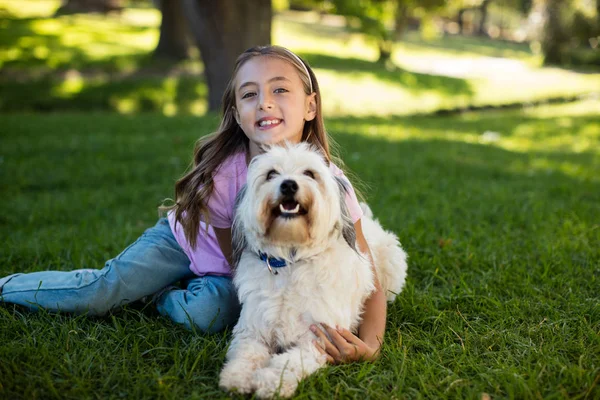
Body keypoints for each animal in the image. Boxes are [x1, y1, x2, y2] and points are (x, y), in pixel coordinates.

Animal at [220, 143, 408, 396]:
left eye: (309, 173)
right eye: (271, 174)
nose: (289, 185)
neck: (292, 260)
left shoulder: (318, 339)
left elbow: (287, 364)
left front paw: (270, 383)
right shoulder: (252, 330)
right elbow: (245, 354)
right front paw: (236, 377)